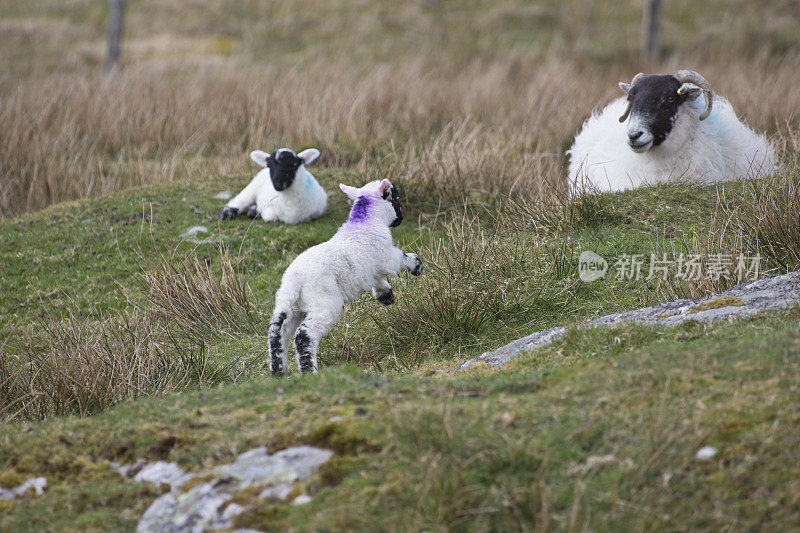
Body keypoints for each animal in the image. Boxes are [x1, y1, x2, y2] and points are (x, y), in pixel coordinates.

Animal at [266, 179, 422, 374]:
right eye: (396, 199)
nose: (400, 219)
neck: (365, 221)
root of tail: (294, 279)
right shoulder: (385, 257)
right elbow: (400, 257)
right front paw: (416, 265)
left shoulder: (372, 266)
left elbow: (376, 278)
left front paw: (385, 295)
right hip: (323, 301)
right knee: (304, 335)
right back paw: (309, 371)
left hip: (291, 306)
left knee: (277, 332)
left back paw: (279, 371)